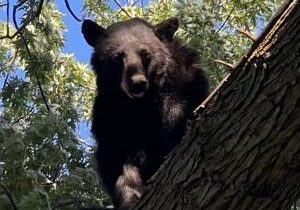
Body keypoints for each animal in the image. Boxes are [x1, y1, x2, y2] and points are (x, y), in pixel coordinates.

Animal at [81, 17, 209, 209]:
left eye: (145, 54)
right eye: (117, 56)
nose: (137, 83)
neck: (141, 104)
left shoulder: (184, 85)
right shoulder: (109, 114)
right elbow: (115, 158)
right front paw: (130, 196)